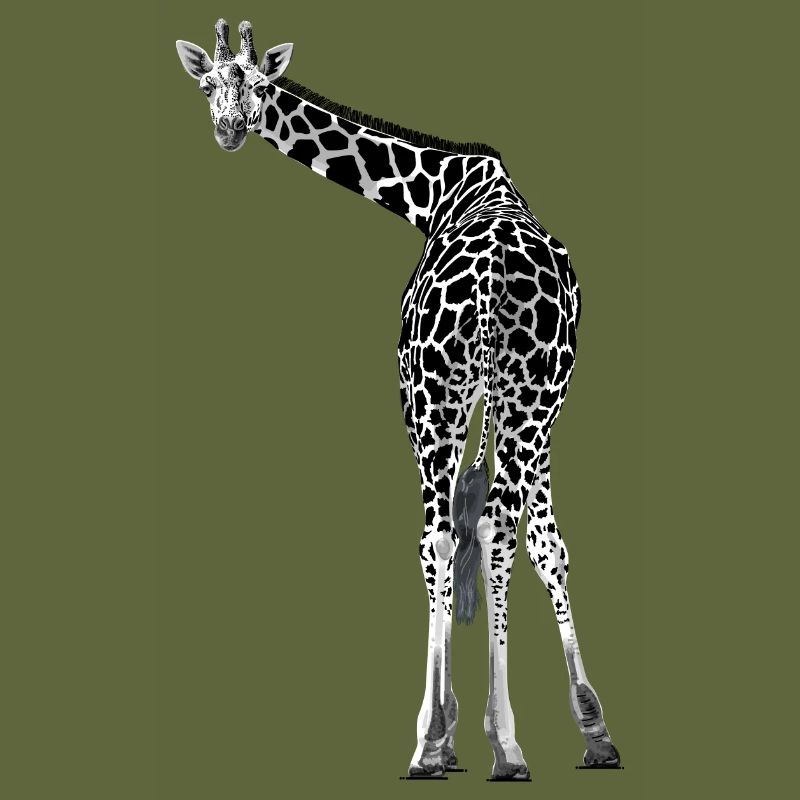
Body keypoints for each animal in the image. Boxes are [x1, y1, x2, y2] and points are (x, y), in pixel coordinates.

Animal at [176, 19, 622, 779]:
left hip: (435, 397)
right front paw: (581, 728)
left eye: (260, 85)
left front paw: (446, 732)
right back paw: (520, 745)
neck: (439, 188)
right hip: (527, 393)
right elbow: (539, 538)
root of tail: (493, 279)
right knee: (504, 528)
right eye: (208, 84)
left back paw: (441, 743)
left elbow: (454, 539)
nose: (230, 128)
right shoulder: (528, 401)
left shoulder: (436, 393)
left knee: (440, 536)